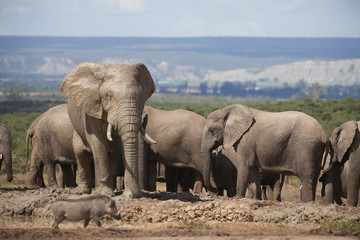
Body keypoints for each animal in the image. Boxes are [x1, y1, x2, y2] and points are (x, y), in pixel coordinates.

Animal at [60, 62, 156, 197]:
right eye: (108, 96)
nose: (134, 195)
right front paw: (105, 193)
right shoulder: (92, 109)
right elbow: (98, 144)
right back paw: (83, 191)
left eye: (139, 96)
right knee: (80, 154)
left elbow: (119, 146)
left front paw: (126, 194)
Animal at [201, 104, 330, 202]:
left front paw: (237, 198)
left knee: (306, 177)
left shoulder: (246, 139)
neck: (227, 110)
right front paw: (255, 199)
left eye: (211, 130)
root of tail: (323, 134)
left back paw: (306, 203)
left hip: (305, 147)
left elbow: (245, 165)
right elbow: (252, 169)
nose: (214, 190)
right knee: (314, 176)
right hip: (314, 149)